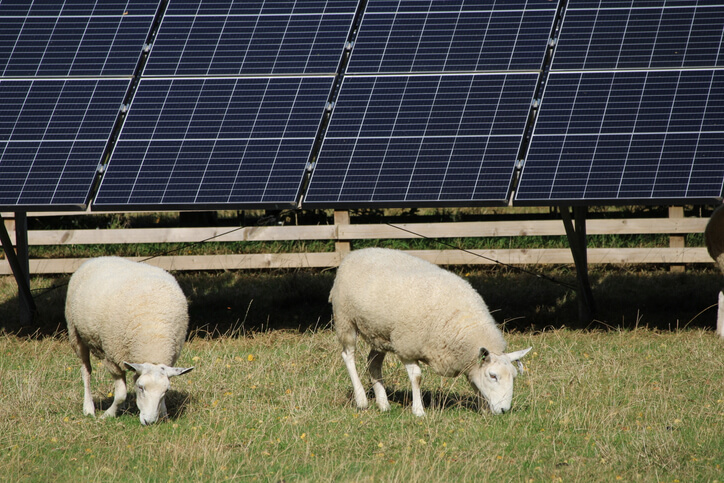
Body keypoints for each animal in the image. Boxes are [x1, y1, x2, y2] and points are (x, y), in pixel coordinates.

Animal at [65, 258, 194, 424]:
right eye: (141, 387)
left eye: (166, 391)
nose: (149, 422)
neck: (153, 335)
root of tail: (100, 258)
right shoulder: (112, 358)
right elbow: (121, 395)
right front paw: (108, 414)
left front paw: (164, 414)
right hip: (76, 334)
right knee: (86, 371)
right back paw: (88, 408)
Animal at [330, 248, 532, 418]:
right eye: (493, 376)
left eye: (514, 376)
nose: (504, 410)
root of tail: (356, 253)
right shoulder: (407, 346)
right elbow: (417, 377)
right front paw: (418, 411)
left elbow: (474, 382)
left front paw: (483, 408)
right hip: (345, 319)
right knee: (348, 355)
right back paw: (361, 400)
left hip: (380, 333)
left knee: (373, 362)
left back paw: (383, 403)